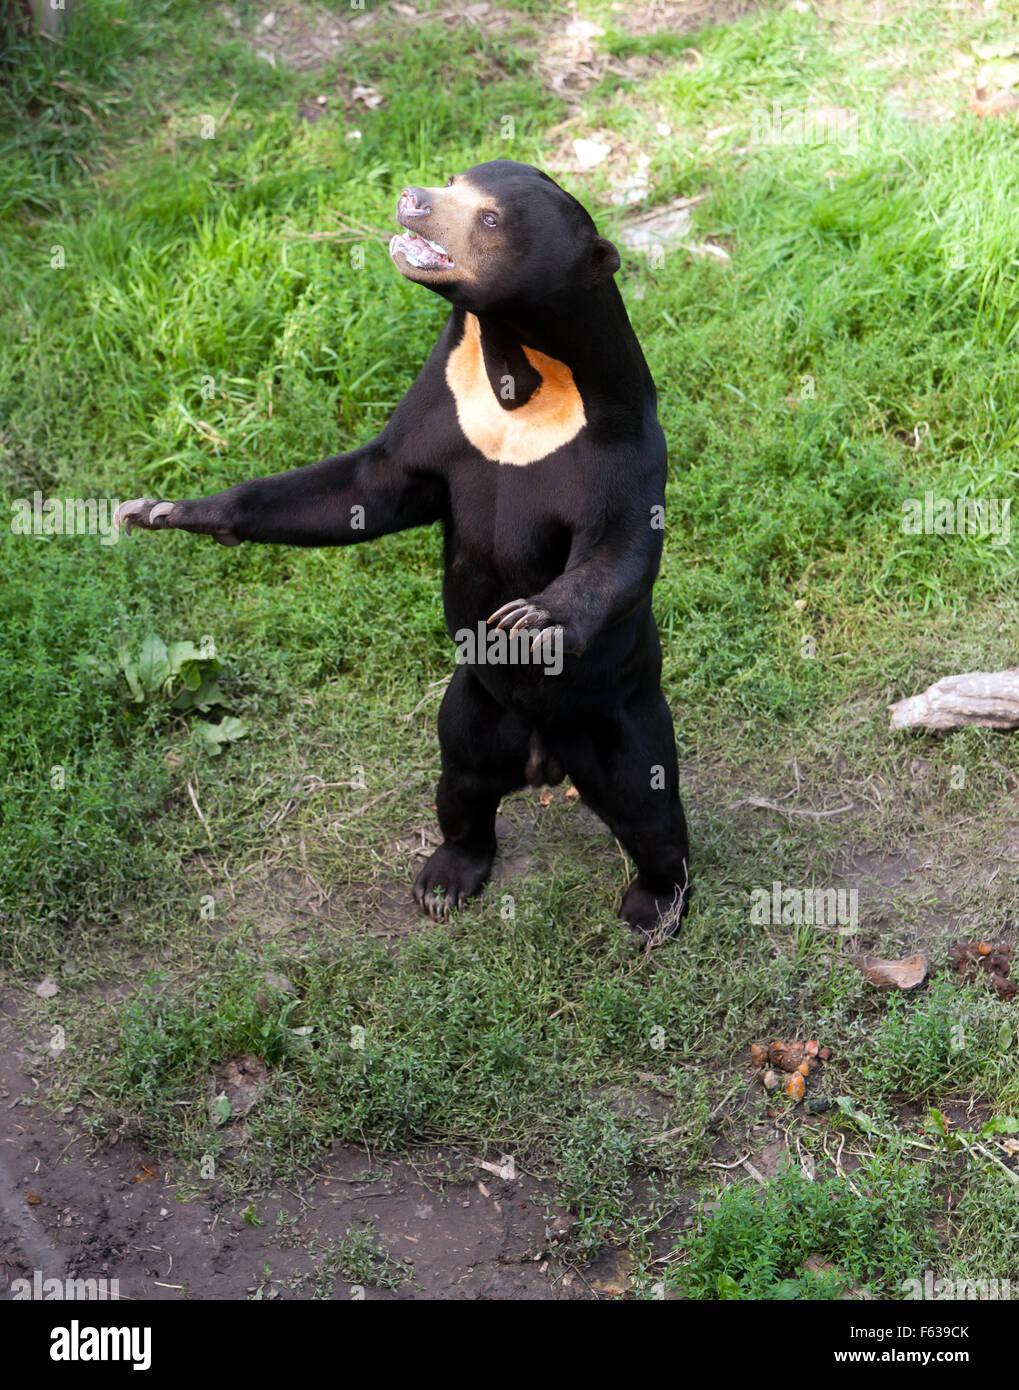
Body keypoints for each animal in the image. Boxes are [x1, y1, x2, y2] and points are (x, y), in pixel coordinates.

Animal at [117, 159, 692, 945]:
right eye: (455, 178)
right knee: (462, 788)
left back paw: (652, 908)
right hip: (471, 709)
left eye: (490, 218)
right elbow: (359, 488)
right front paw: (164, 510)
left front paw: (531, 618)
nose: (410, 199)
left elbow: (624, 546)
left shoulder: (619, 445)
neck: (520, 370)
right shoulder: (442, 412)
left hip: (617, 713)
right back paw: (444, 880)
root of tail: (547, 758)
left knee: (648, 806)